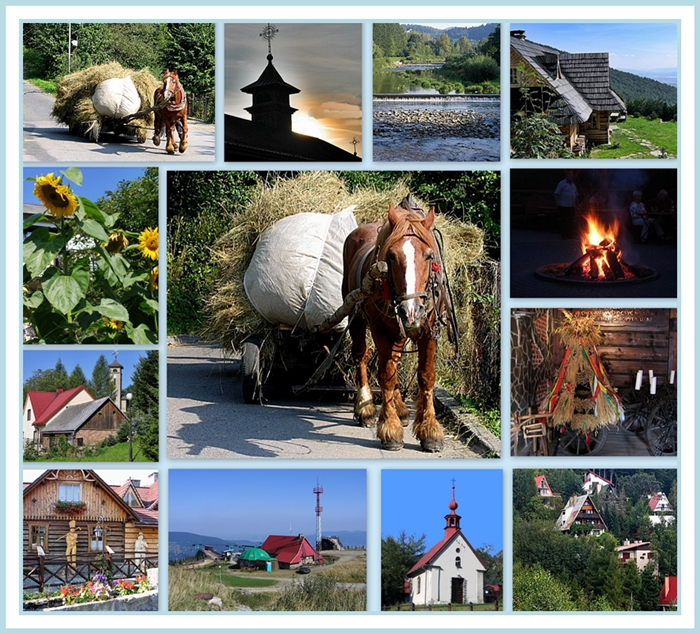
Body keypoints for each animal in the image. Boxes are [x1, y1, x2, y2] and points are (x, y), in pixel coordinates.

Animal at [342, 198, 446, 450]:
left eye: (429, 256)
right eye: (390, 256)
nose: (411, 310)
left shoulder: (429, 330)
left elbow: (426, 375)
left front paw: (430, 430)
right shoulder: (379, 330)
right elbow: (386, 375)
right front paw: (390, 429)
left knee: (396, 358)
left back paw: (401, 410)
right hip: (355, 315)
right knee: (361, 355)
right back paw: (367, 409)